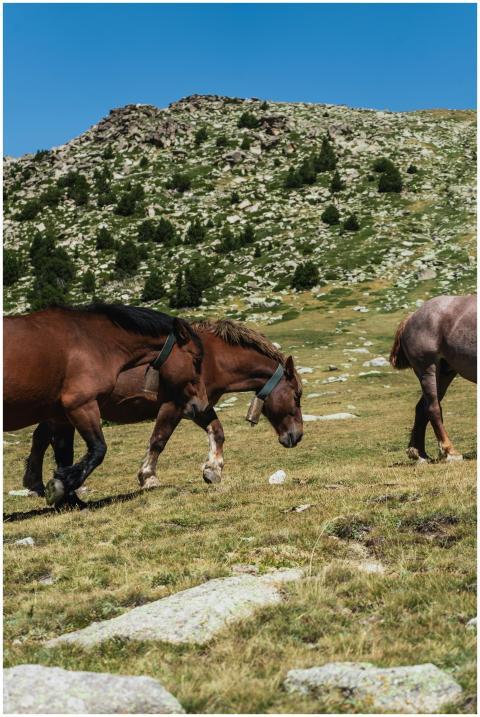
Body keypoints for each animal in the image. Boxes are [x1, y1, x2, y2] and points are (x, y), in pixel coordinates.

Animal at [4, 303, 207, 508]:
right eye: (196, 359)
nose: (201, 404)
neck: (93, 343)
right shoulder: (82, 406)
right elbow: (98, 449)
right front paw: (60, 486)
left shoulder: (61, 416)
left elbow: (65, 454)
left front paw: (69, 497)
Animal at [22, 319, 304, 495]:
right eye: (297, 395)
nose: (297, 436)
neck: (213, 359)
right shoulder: (174, 405)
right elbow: (159, 440)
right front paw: (148, 477)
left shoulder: (198, 406)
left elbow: (217, 432)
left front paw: (212, 470)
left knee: (41, 437)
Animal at [390, 294, 476, 461]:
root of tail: (412, 317)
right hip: (427, 369)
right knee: (432, 408)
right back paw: (450, 451)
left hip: (444, 374)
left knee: (421, 408)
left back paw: (419, 453)